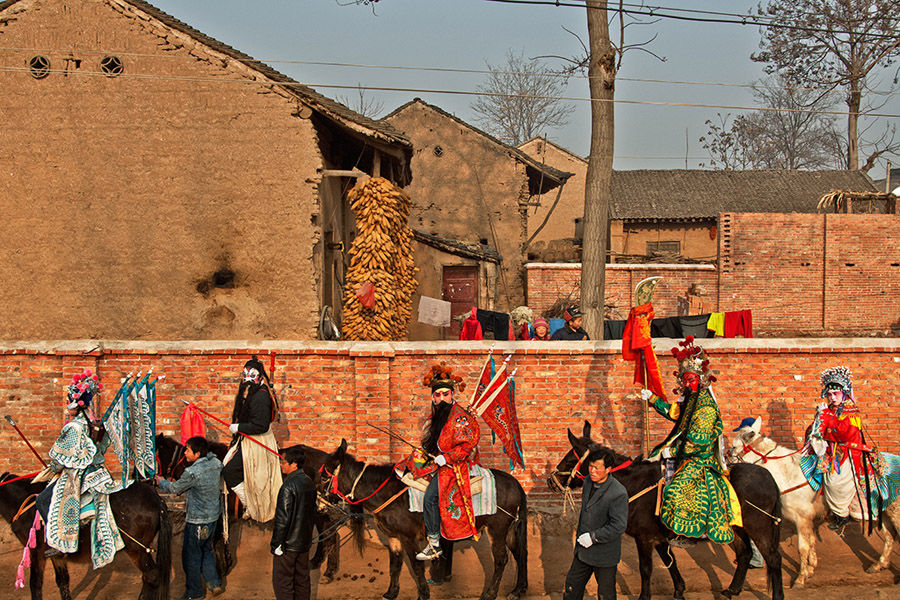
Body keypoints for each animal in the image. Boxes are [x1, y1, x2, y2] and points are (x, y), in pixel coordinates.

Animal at [0, 474, 171, 600]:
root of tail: (156, 498)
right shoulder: (57, 556)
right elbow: (63, 582)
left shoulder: (36, 551)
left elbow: (35, 584)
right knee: (147, 577)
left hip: (136, 548)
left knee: (152, 576)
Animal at [155, 434, 344, 584]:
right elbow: (223, 539)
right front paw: (227, 563)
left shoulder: (218, 514)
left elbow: (217, 541)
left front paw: (221, 571)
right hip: (318, 512)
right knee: (327, 534)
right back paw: (317, 562)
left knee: (331, 535)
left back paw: (328, 571)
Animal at [320, 438, 528, 600]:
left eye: (323, 476)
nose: (318, 503)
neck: (386, 492)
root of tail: (515, 483)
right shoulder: (393, 537)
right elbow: (394, 565)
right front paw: (391, 593)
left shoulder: (409, 537)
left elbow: (416, 566)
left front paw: (423, 594)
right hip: (510, 530)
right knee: (520, 554)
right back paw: (518, 590)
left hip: (497, 529)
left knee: (501, 560)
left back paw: (490, 593)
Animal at [544, 422, 784, 600]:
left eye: (570, 458)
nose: (551, 481)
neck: (632, 484)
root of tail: (769, 478)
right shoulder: (658, 537)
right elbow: (670, 562)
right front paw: (679, 590)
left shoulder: (644, 537)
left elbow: (646, 569)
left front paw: (644, 597)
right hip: (736, 528)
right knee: (745, 553)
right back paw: (732, 590)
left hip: (760, 526)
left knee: (773, 558)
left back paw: (777, 595)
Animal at [732, 418, 900, 584]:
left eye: (734, 446)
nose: (727, 463)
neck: (789, 475)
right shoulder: (808, 521)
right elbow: (811, 543)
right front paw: (811, 568)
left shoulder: (802, 519)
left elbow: (803, 548)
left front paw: (800, 578)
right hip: (883, 512)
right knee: (890, 537)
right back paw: (879, 565)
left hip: (895, 512)